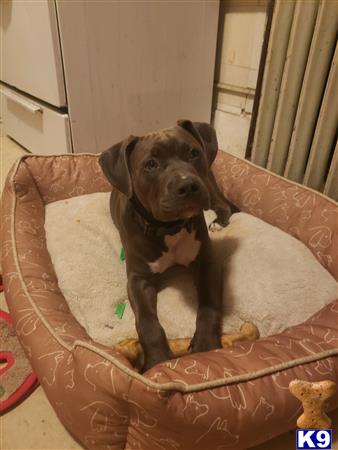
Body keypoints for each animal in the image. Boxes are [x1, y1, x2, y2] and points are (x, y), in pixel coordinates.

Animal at [99, 119, 234, 372]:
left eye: (193, 152)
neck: (170, 228)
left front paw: (206, 345)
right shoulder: (139, 279)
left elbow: (209, 306)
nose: (188, 185)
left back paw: (218, 223)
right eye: (151, 164)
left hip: (209, 184)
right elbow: (147, 321)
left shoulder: (207, 264)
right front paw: (158, 359)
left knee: (224, 205)